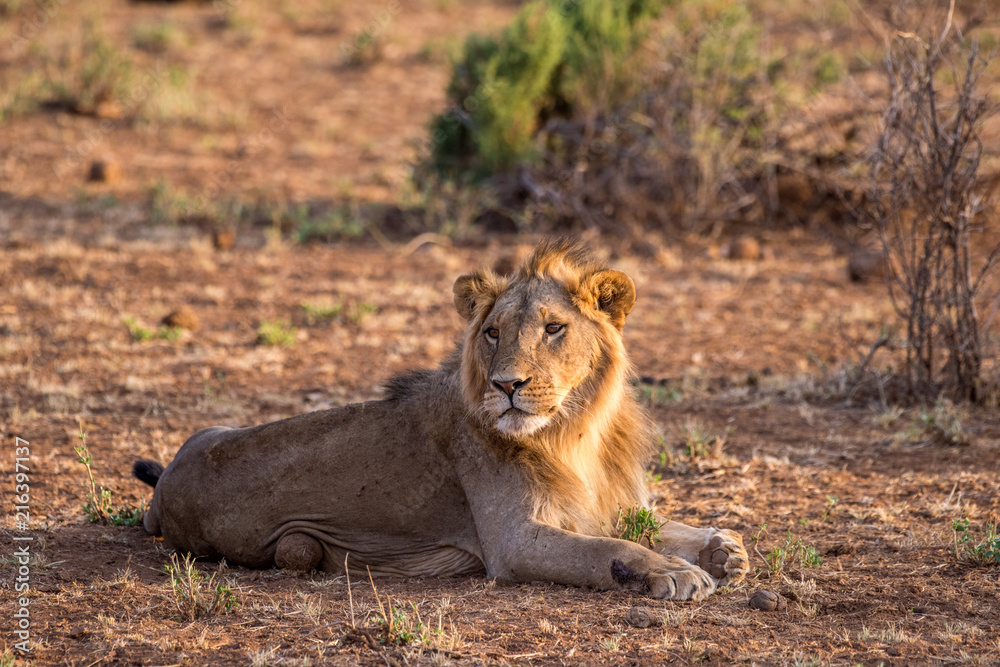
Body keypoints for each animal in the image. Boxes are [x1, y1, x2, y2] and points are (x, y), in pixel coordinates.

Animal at [133, 240, 748, 600]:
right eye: (493, 332)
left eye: (554, 329)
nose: (507, 386)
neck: (576, 434)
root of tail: (165, 485)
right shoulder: (515, 541)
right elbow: (609, 550)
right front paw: (675, 572)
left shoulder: (605, 502)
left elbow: (658, 523)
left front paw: (722, 548)